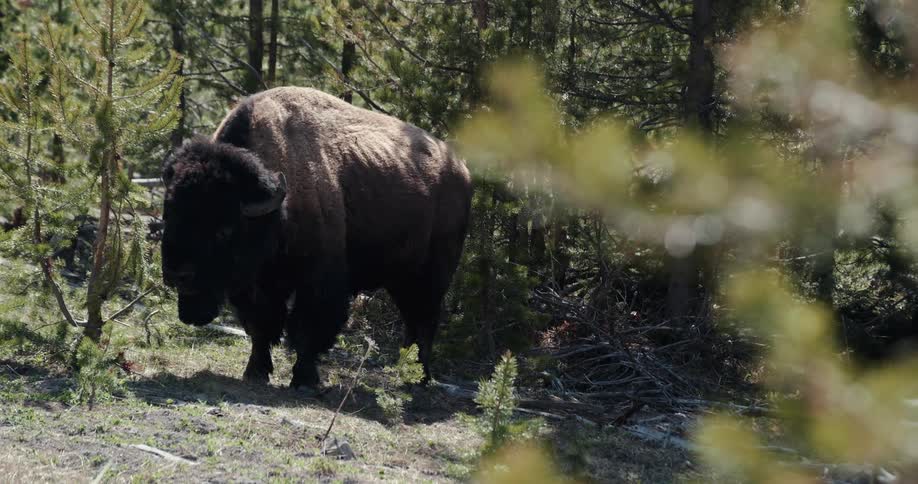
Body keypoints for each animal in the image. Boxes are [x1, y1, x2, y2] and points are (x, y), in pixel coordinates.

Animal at [161, 87, 472, 389]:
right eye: (169, 215)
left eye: (223, 229)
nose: (177, 274)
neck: (278, 208)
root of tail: (461, 170)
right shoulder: (257, 286)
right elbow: (261, 325)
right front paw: (255, 372)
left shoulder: (318, 280)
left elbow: (306, 329)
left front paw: (304, 379)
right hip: (401, 277)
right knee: (412, 320)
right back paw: (406, 371)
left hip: (433, 274)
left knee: (425, 319)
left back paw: (421, 378)